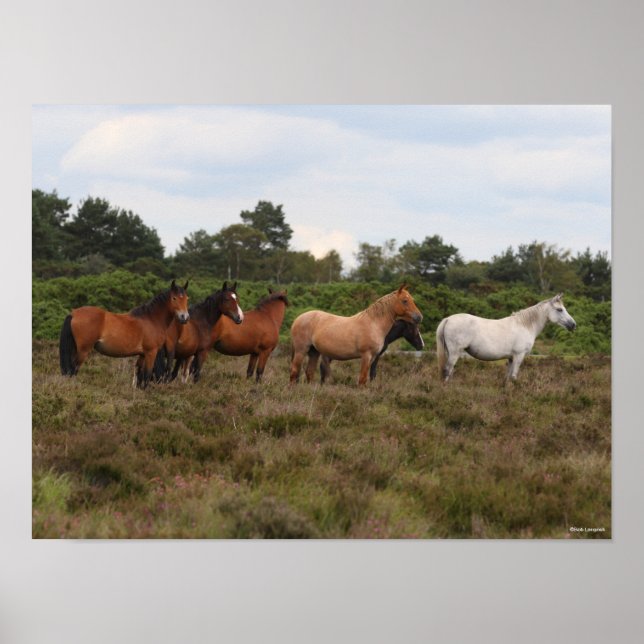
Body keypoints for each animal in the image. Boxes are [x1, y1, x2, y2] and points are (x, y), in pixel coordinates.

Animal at [59, 280, 190, 388]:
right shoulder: (151, 352)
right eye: (174, 298)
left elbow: (139, 375)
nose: (184, 317)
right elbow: (147, 375)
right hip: (83, 351)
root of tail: (73, 313)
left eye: (186, 299)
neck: (152, 319)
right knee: (73, 370)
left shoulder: (142, 354)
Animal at [290, 285, 423, 386]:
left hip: (314, 352)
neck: (373, 323)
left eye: (412, 300)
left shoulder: (373, 357)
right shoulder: (366, 356)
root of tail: (298, 318)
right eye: (405, 301)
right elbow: (362, 379)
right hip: (301, 351)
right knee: (294, 372)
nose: (419, 317)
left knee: (309, 373)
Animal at [436, 293, 577, 382]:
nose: (573, 325)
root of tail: (448, 319)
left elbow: (508, 378)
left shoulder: (510, 358)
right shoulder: (519, 356)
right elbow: (514, 377)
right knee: (447, 370)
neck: (525, 325)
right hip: (455, 353)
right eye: (559, 309)